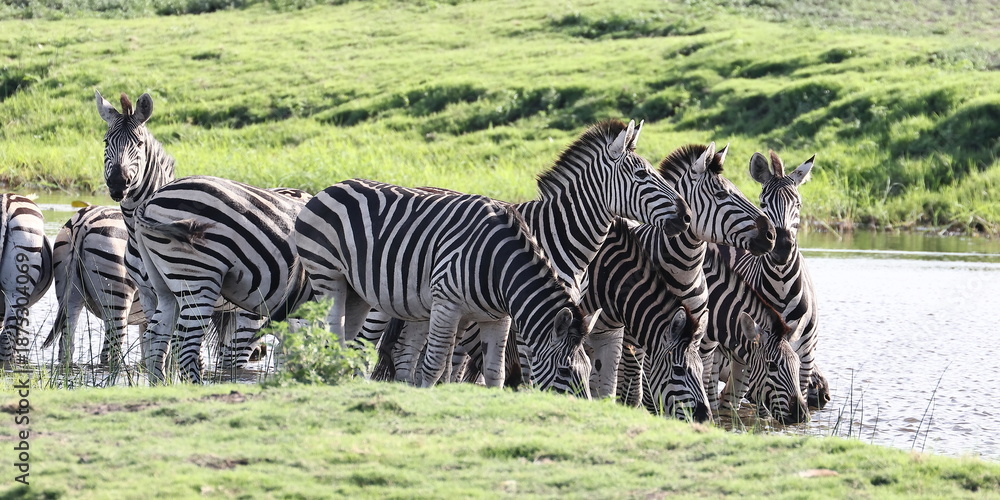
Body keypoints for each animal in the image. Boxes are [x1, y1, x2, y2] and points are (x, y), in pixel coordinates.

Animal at [293, 179, 599, 395]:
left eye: (587, 372)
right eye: (565, 371)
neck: (497, 265)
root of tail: (328, 189)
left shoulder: (497, 318)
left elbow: (494, 371)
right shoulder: (446, 305)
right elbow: (435, 364)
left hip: (356, 292)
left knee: (348, 340)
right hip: (327, 275)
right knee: (334, 331)